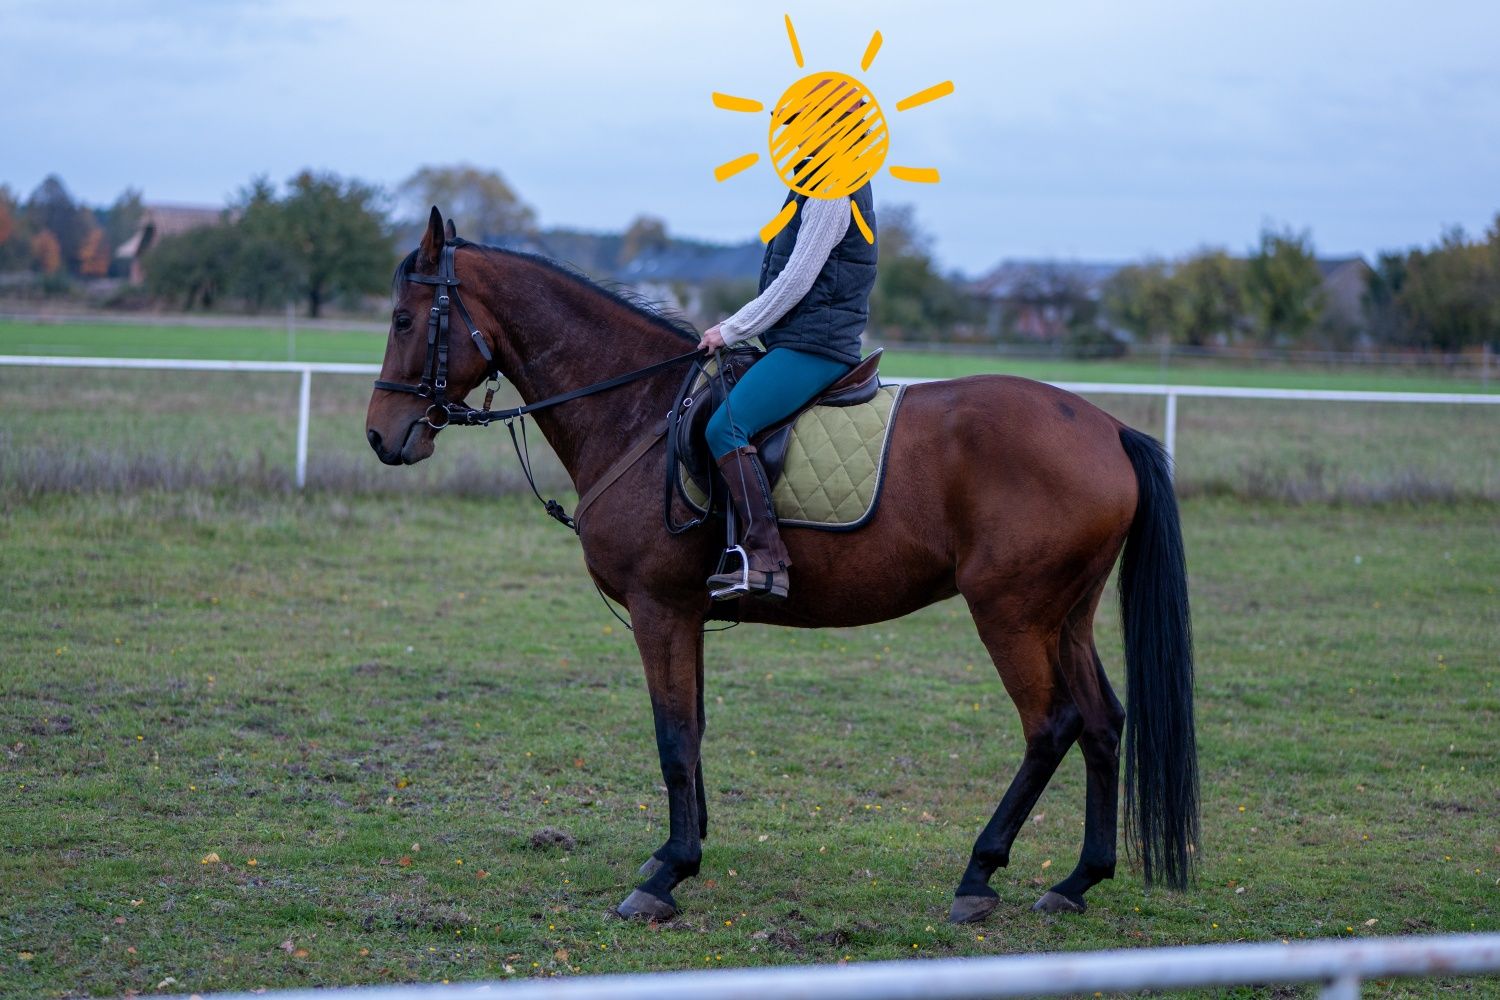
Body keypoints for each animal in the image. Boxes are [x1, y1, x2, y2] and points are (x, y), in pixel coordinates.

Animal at [363, 209, 1194, 923]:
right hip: (1067, 616)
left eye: (404, 320)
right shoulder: (687, 613)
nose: (381, 436)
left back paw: (978, 875)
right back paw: (1077, 881)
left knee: (1051, 727)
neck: (638, 409)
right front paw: (680, 853)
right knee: (1102, 723)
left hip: (1011, 614)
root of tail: (1110, 428)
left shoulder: (659, 609)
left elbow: (671, 738)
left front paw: (666, 877)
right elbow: (693, 729)